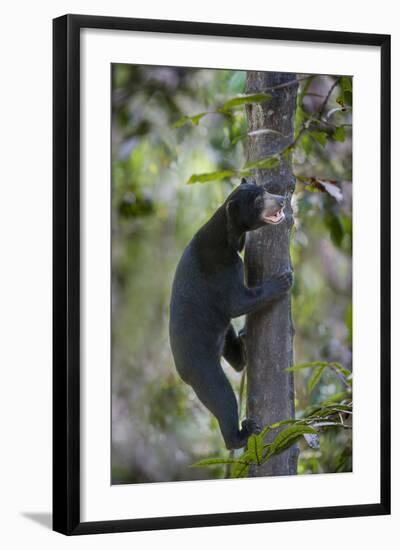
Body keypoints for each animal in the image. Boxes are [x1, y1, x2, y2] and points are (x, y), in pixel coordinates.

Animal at [167, 179, 292, 450]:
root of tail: (181, 372)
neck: (225, 235)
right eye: (258, 201)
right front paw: (283, 280)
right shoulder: (222, 268)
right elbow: (238, 302)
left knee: (230, 344)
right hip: (204, 370)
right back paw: (243, 433)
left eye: (265, 191)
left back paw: (243, 342)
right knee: (223, 399)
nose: (281, 200)